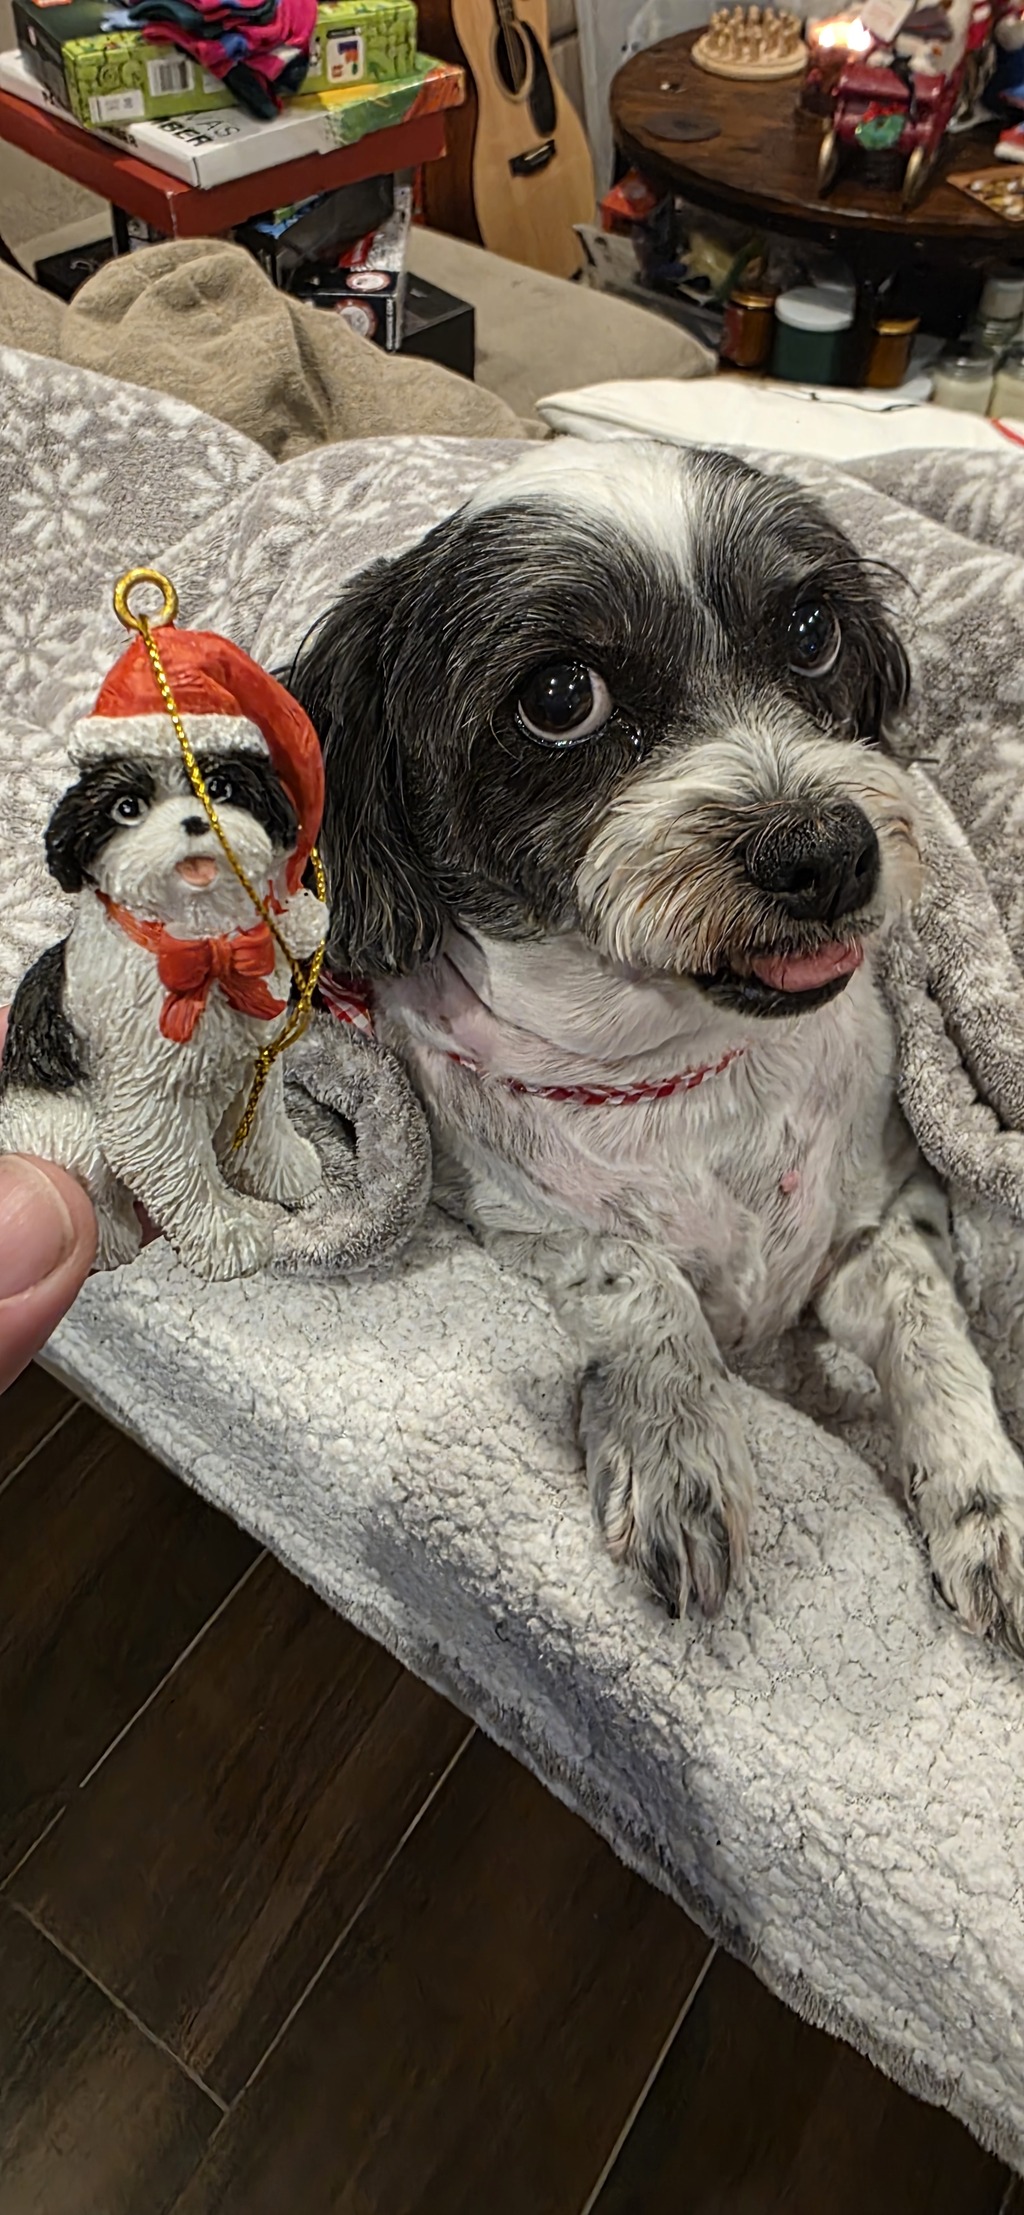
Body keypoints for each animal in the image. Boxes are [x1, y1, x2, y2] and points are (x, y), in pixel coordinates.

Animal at [286, 439, 1024, 1652]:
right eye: (558, 696)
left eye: (810, 630)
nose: (826, 851)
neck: (685, 1065)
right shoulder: (510, 1212)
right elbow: (631, 1271)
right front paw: (677, 1448)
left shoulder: (880, 1211)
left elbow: (928, 1328)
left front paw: (988, 1500)